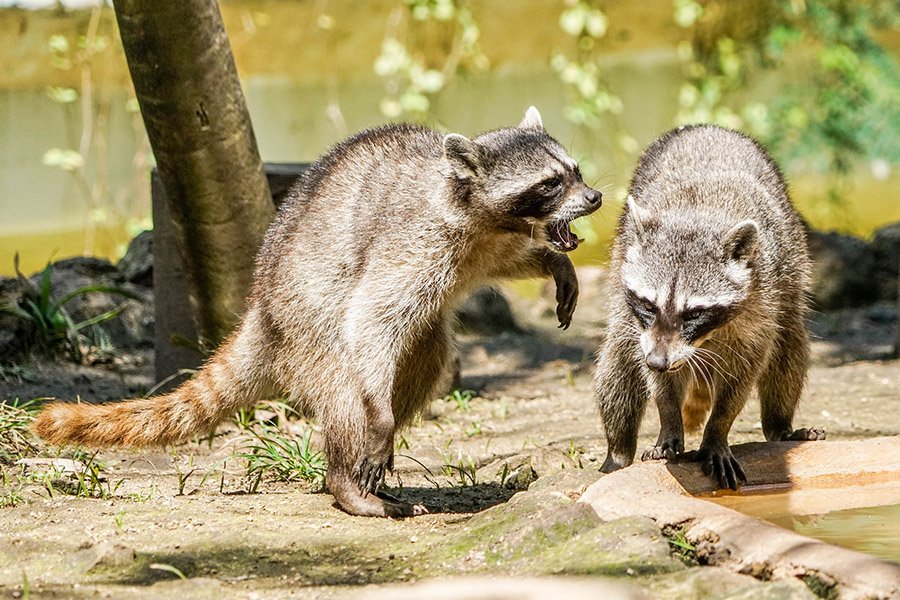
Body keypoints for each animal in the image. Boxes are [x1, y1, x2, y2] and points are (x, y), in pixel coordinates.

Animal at [34, 107, 602, 517]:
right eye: (550, 184)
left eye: (574, 171)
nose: (595, 196)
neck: (477, 208)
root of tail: (260, 309)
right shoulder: (414, 241)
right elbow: (372, 316)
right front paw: (376, 425)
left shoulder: (484, 243)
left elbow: (510, 259)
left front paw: (551, 259)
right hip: (307, 321)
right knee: (351, 383)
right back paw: (347, 476)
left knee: (426, 360)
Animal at [594, 124, 824, 490]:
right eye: (649, 305)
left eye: (694, 313)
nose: (659, 361)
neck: (697, 214)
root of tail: (707, 127)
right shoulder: (641, 321)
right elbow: (652, 376)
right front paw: (669, 420)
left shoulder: (761, 299)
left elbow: (743, 372)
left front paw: (718, 429)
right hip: (621, 261)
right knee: (617, 360)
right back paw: (617, 451)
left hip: (791, 263)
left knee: (789, 343)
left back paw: (780, 425)